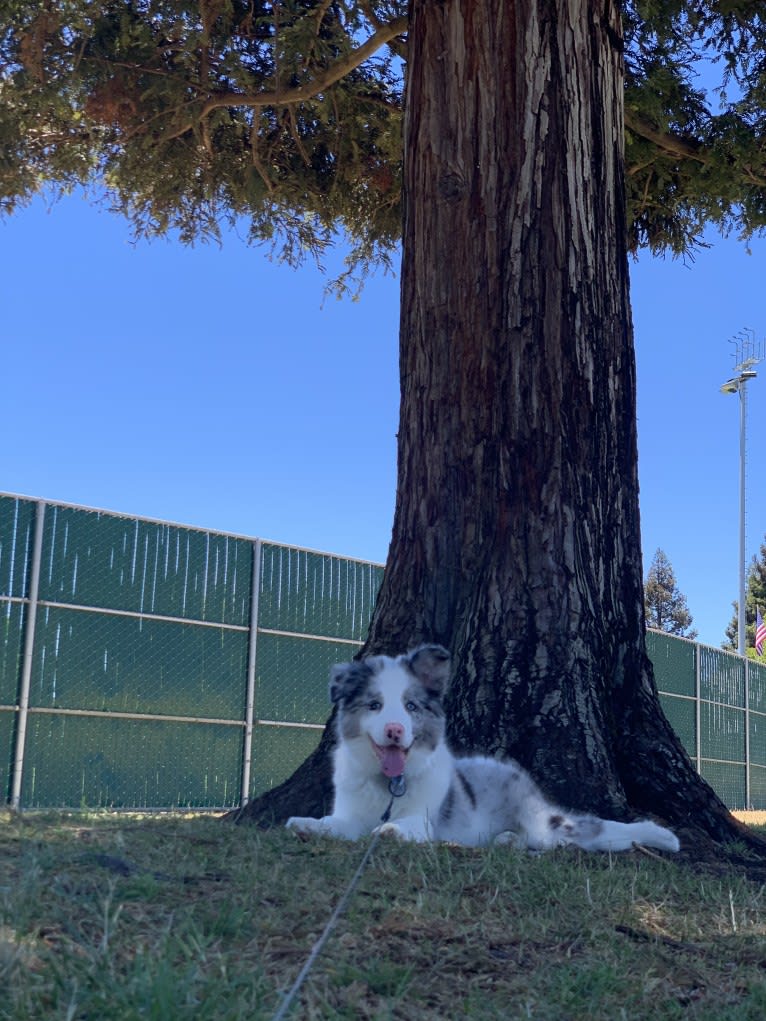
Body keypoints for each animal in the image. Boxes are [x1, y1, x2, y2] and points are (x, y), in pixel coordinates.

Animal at [285, 645, 682, 853]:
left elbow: (406, 826)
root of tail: (515, 773)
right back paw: (505, 839)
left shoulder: (427, 819)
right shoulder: (349, 814)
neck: (389, 784)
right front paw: (305, 824)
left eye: (411, 706)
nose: (395, 730)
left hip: (543, 826)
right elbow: (332, 824)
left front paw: (390, 831)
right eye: (374, 706)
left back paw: (662, 836)